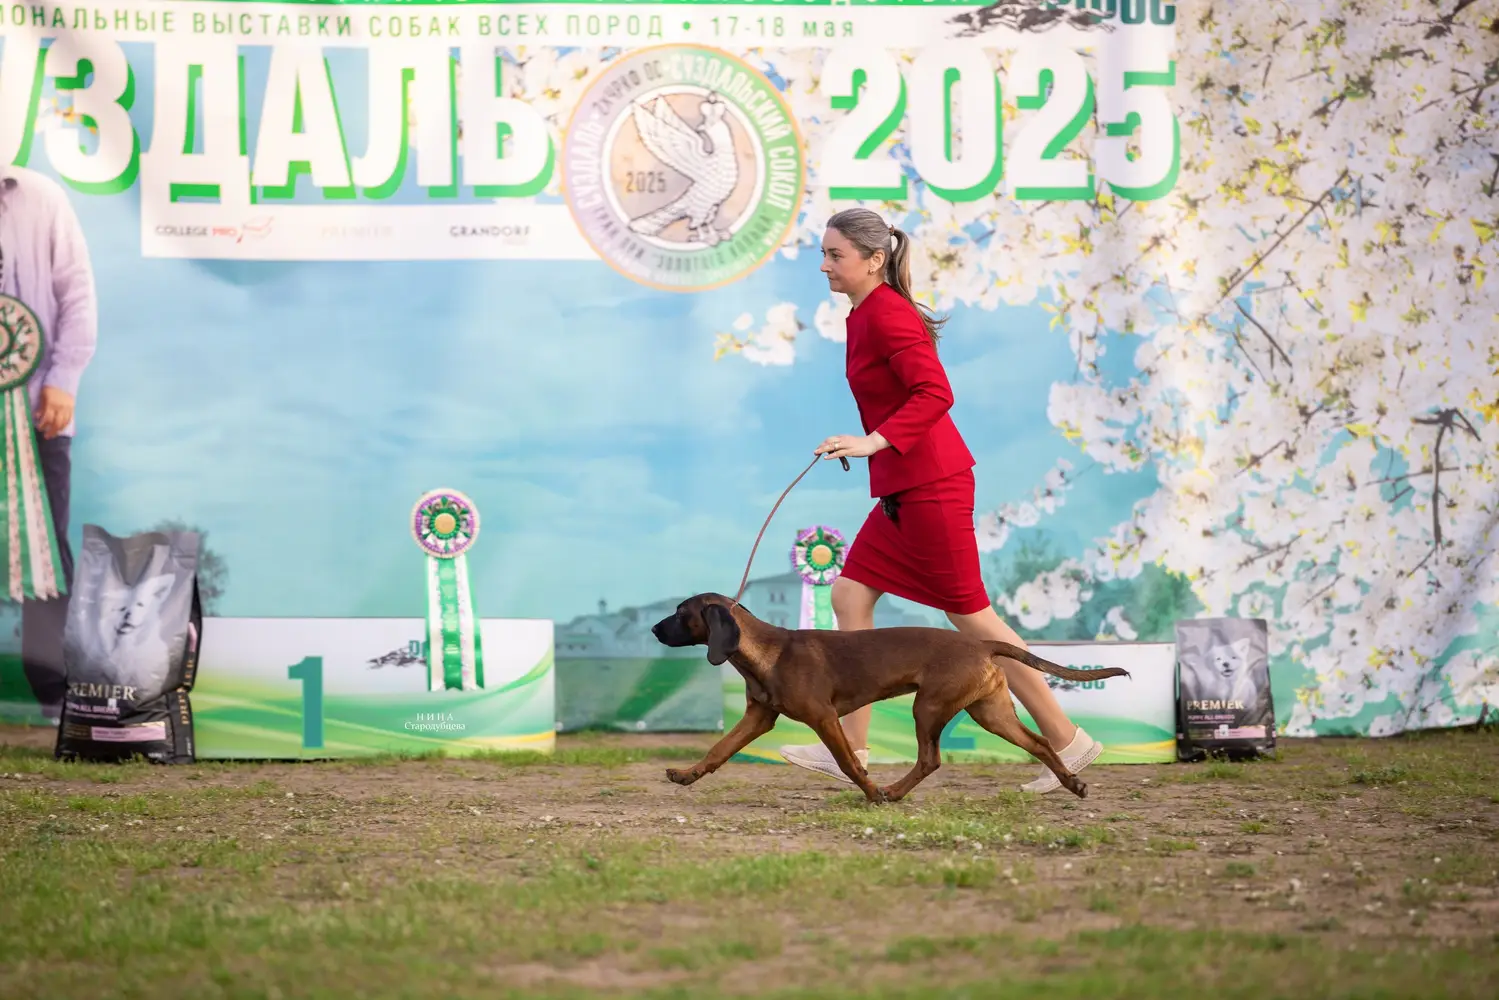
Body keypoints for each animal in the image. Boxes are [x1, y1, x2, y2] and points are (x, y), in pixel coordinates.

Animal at [650, 593, 1131, 803]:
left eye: (679, 613)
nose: (653, 629)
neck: (766, 652)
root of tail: (981, 644)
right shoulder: (758, 718)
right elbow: (718, 750)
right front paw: (687, 774)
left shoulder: (824, 718)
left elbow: (849, 762)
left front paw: (871, 790)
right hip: (990, 713)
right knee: (1040, 743)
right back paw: (1073, 783)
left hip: (929, 707)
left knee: (929, 759)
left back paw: (893, 792)